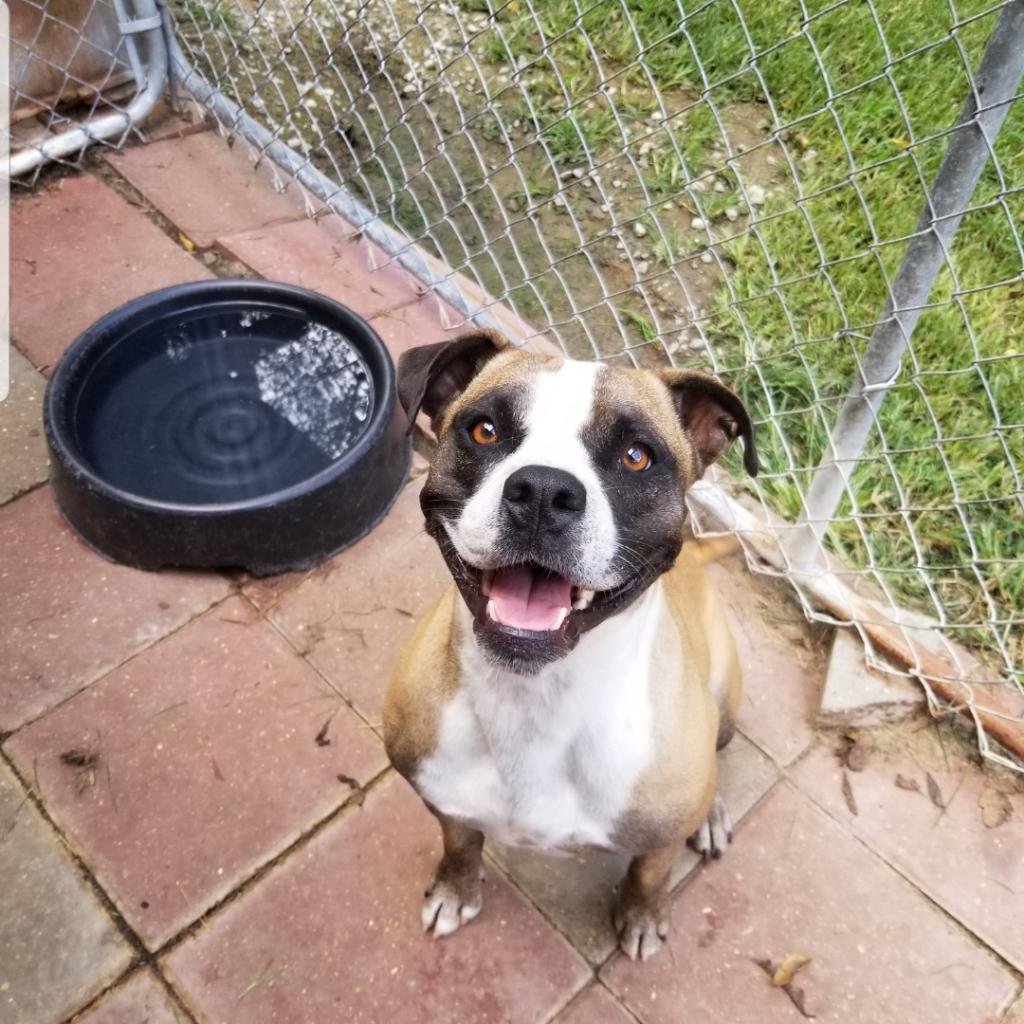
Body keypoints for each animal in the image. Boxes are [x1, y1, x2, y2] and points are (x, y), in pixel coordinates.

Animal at [380, 327, 757, 958]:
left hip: (724, 707)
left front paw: (641, 916)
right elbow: (460, 843)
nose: (542, 490)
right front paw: (457, 889)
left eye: (636, 456)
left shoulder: (657, 833)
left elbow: (649, 871)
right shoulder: (441, 796)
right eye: (484, 430)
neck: (537, 697)